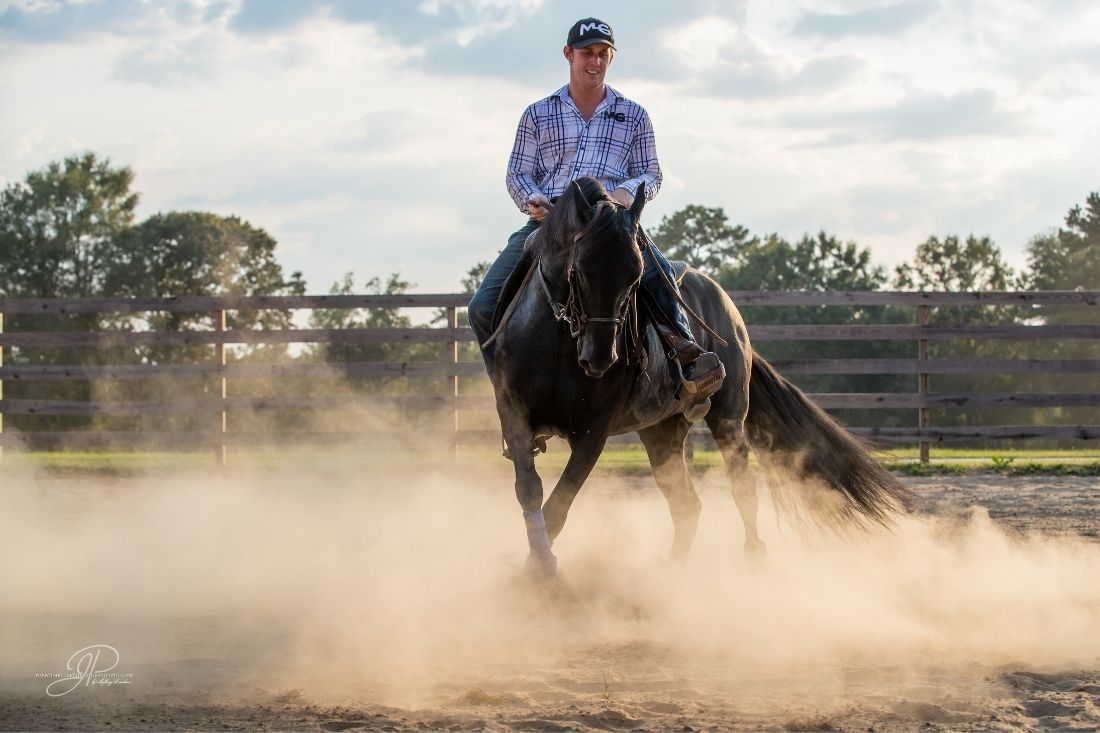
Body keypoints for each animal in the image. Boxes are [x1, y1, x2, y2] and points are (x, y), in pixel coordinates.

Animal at [490, 176, 910, 572]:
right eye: (579, 271)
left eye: (635, 276)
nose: (600, 356)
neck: (558, 345)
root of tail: (727, 305)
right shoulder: (514, 414)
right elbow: (530, 490)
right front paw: (536, 562)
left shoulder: (593, 432)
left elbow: (560, 502)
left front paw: (537, 570)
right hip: (661, 431)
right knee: (686, 504)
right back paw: (673, 572)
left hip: (728, 417)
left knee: (742, 485)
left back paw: (753, 556)